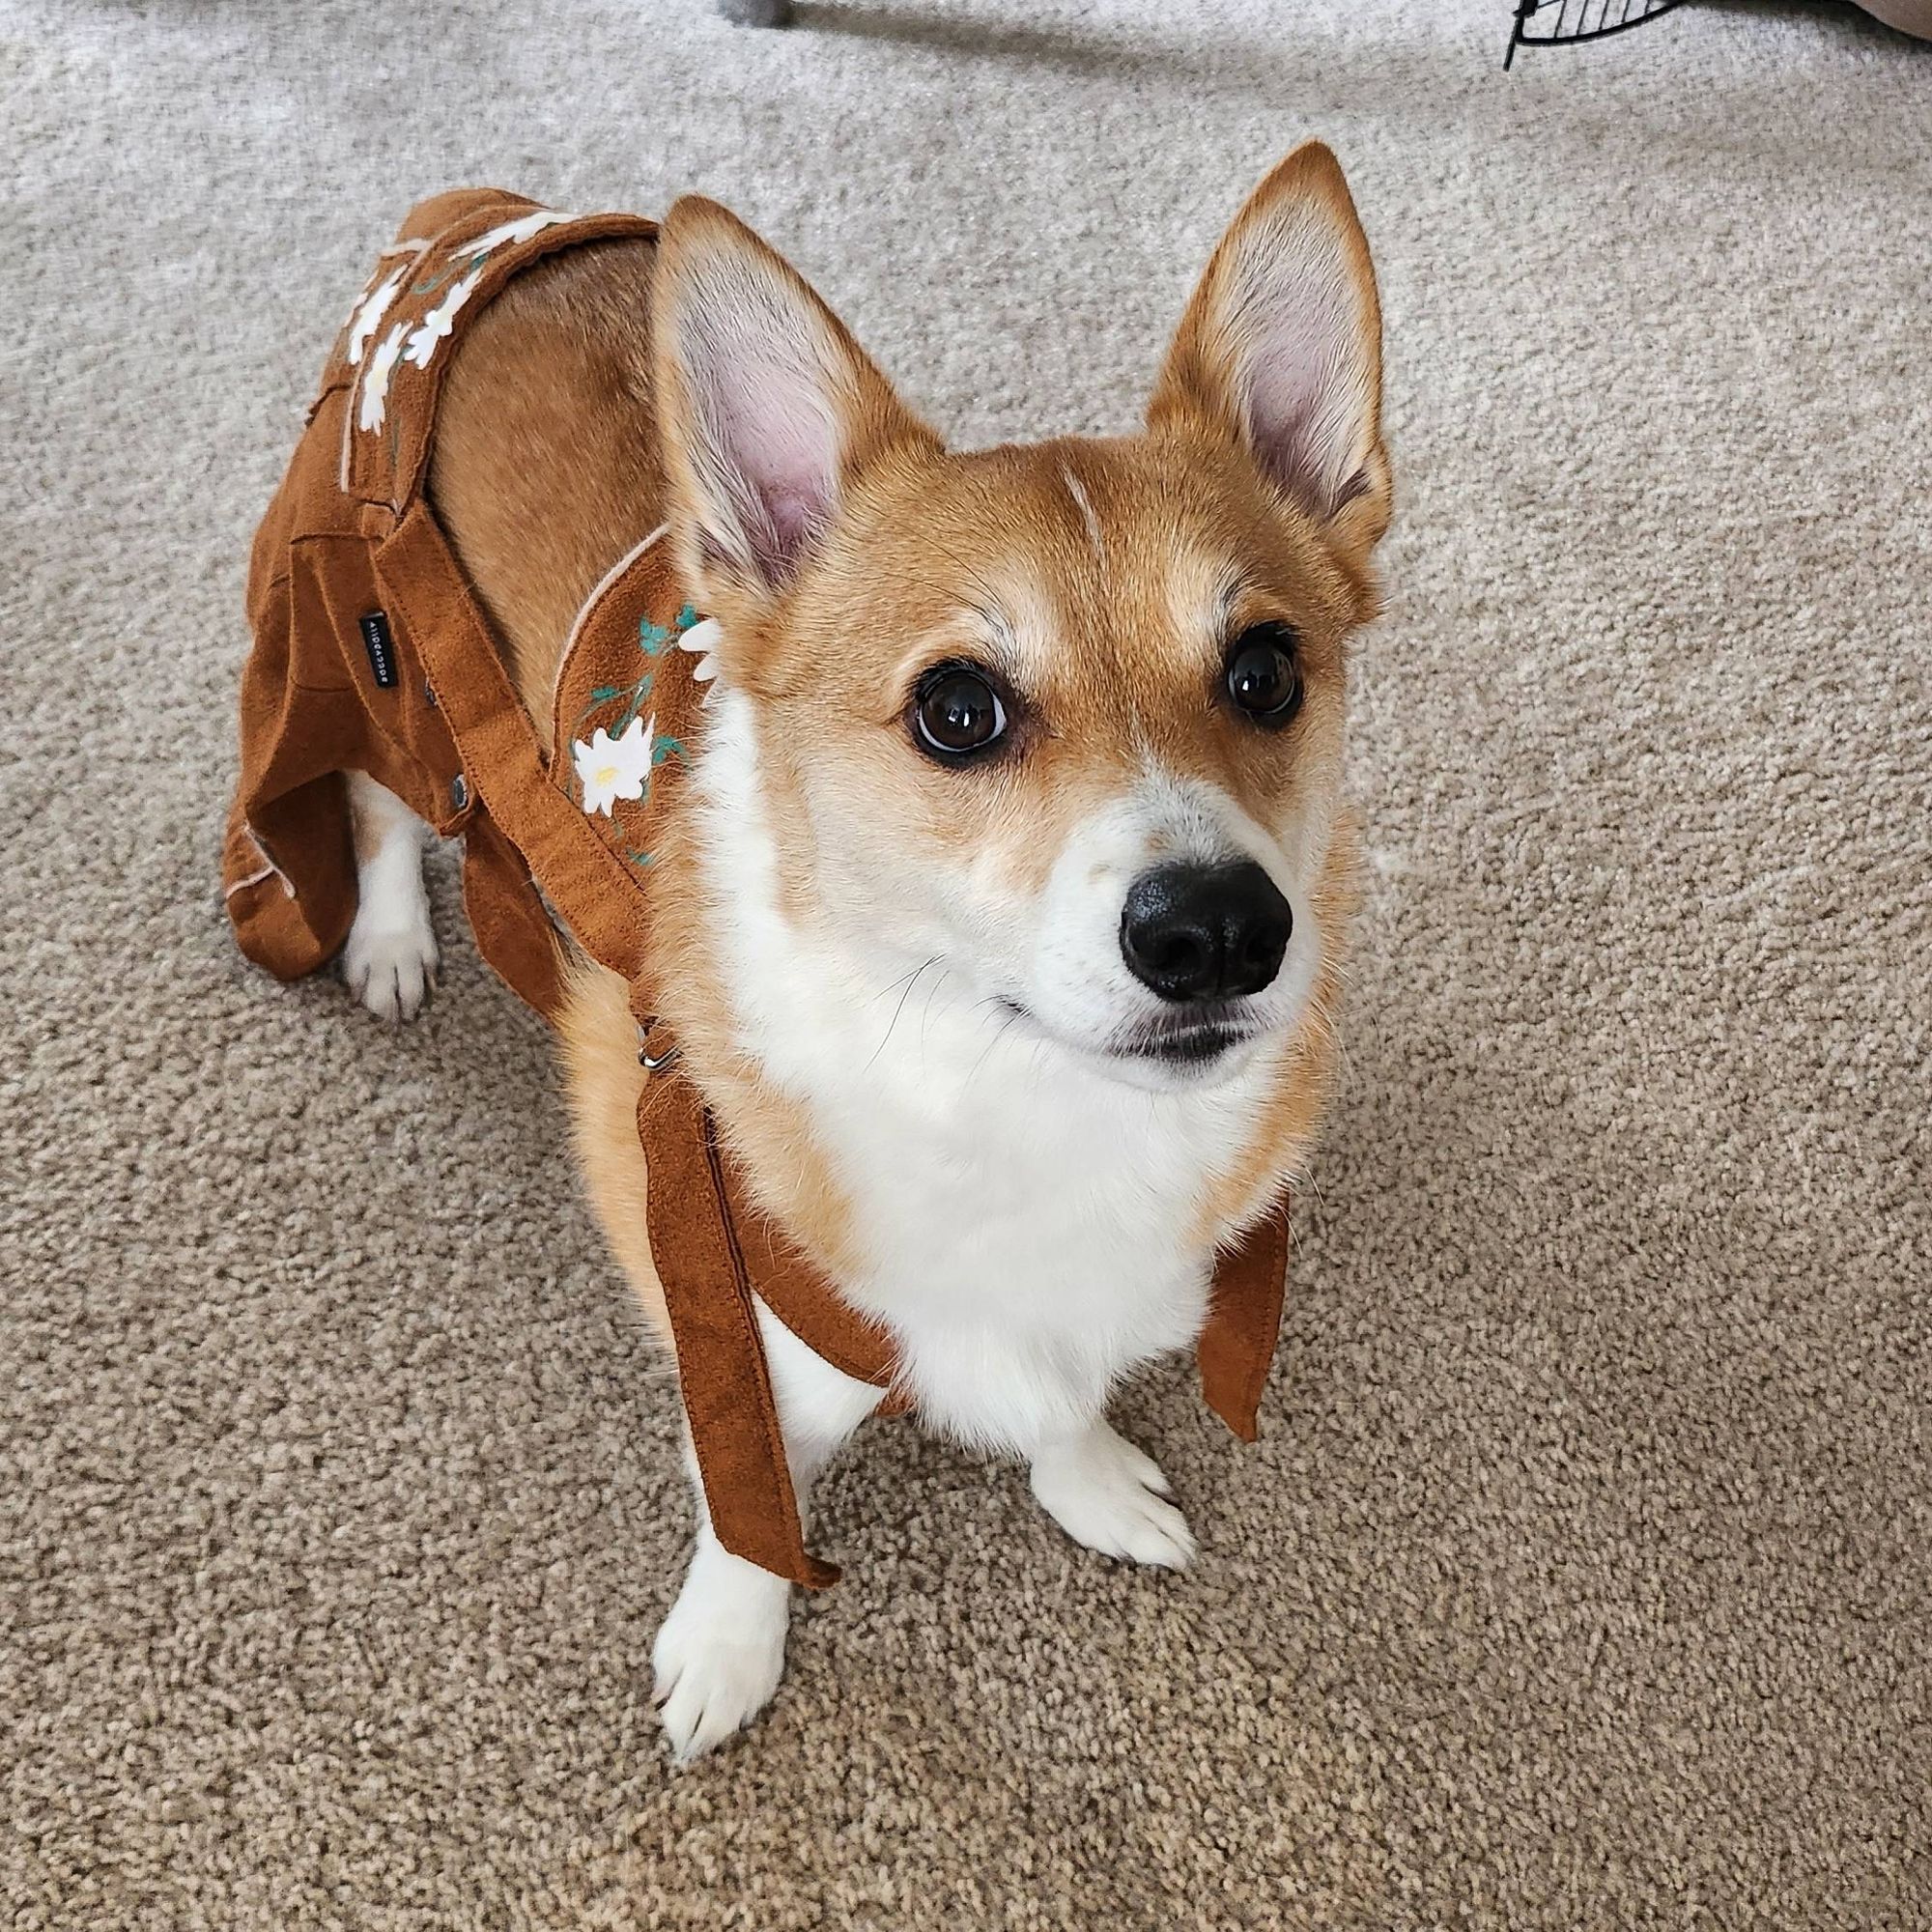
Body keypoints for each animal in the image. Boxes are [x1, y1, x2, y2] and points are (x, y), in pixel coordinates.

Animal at [336, 143, 1391, 1762]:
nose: (1220, 930)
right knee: (381, 808)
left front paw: (1093, 1483)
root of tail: (483, 219)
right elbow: (748, 1498)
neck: (1016, 1090)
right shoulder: (739, 1313)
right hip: (402, 688)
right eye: (959, 710)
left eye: (1266, 671)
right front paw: (729, 1644)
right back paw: (390, 943)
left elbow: (1065, 1401)